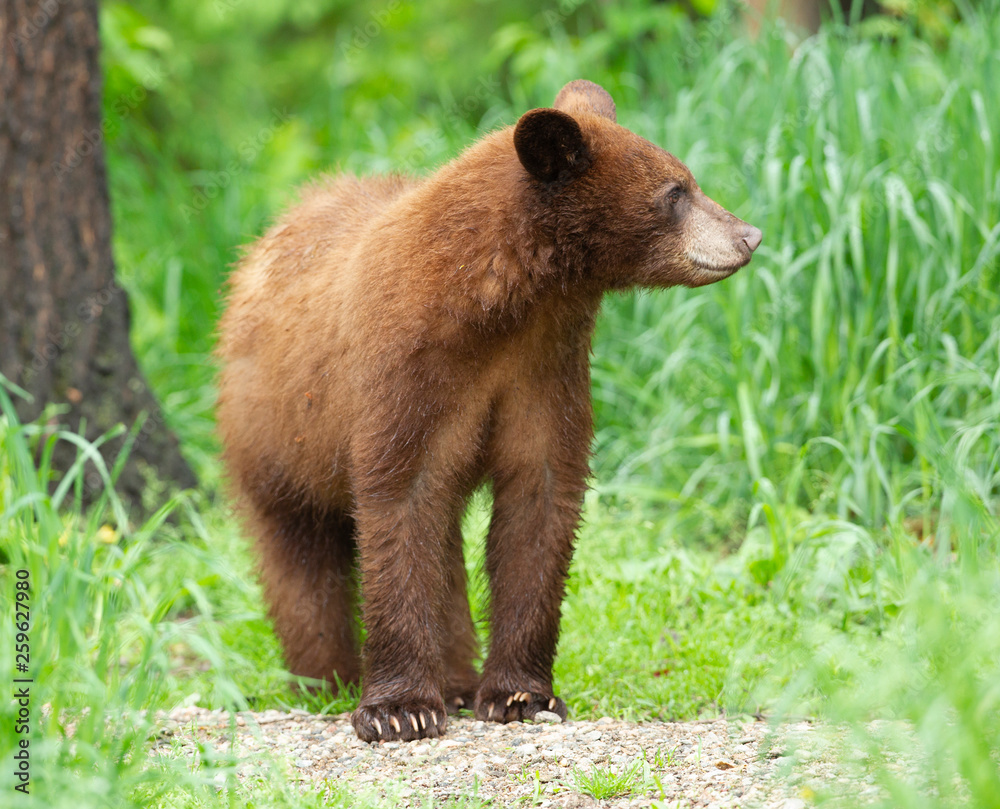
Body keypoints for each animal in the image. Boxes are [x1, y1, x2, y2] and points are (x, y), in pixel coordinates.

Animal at [216, 80, 761, 743]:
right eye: (675, 192)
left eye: (688, 181)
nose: (749, 235)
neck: (495, 303)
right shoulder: (406, 370)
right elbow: (398, 505)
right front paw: (397, 709)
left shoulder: (544, 367)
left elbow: (540, 502)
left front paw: (520, 694)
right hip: (273, 436)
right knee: (299, 556)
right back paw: (326, 677)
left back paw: (454, 678)